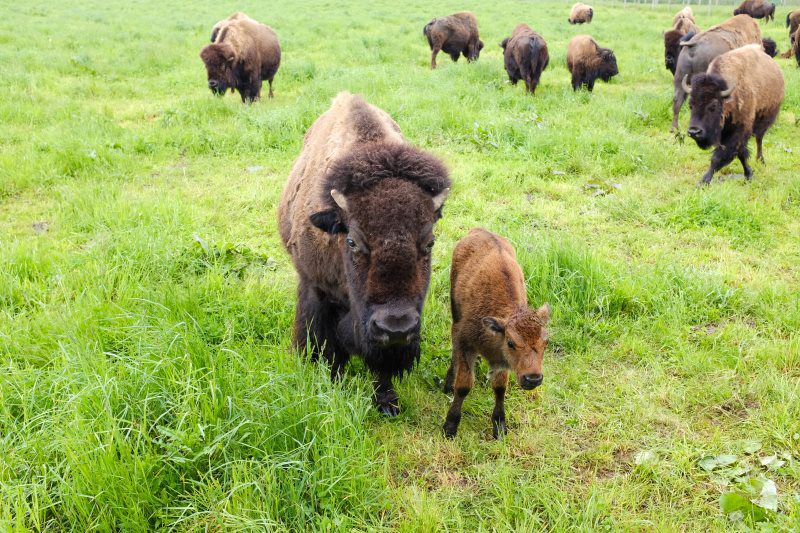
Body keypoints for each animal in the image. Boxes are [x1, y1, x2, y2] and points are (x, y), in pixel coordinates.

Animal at [278, 92, 451, 416]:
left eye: (430, 242)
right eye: (353, 242)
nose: (396, 327)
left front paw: (387, 403)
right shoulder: (316, 288)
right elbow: (324, 345)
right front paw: (330, 383)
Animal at [684, 44, 784, 184]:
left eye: (713, 105)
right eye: (690, 105)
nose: (694, 132)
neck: (728, 98)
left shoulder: (739, 131)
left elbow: (720, 156)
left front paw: (703, 181)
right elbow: (740, 153)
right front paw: (748, 174)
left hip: (764, 120)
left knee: (759, 139)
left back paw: (761, 160)